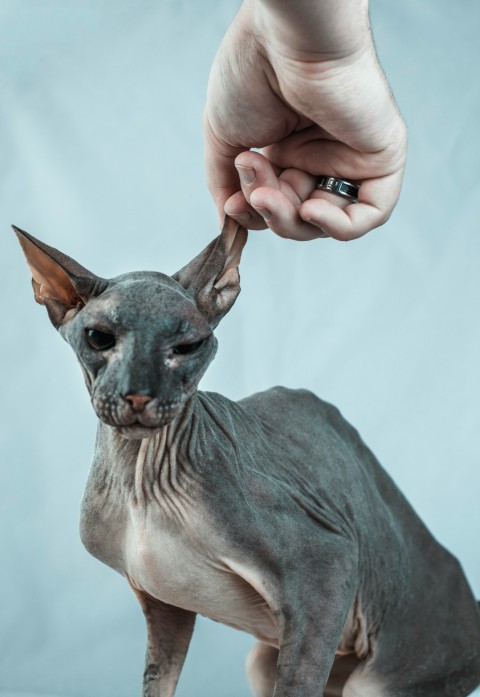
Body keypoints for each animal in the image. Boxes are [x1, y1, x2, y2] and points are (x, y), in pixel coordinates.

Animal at [13, 219, 480, 696]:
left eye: (188, 346)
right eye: (99, 338)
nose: (139, 394)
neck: (140, 481)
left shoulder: (328, 563)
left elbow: (296, 686)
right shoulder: (163, 603)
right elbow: (157, 682)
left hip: (383, 674)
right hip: (263, 660)